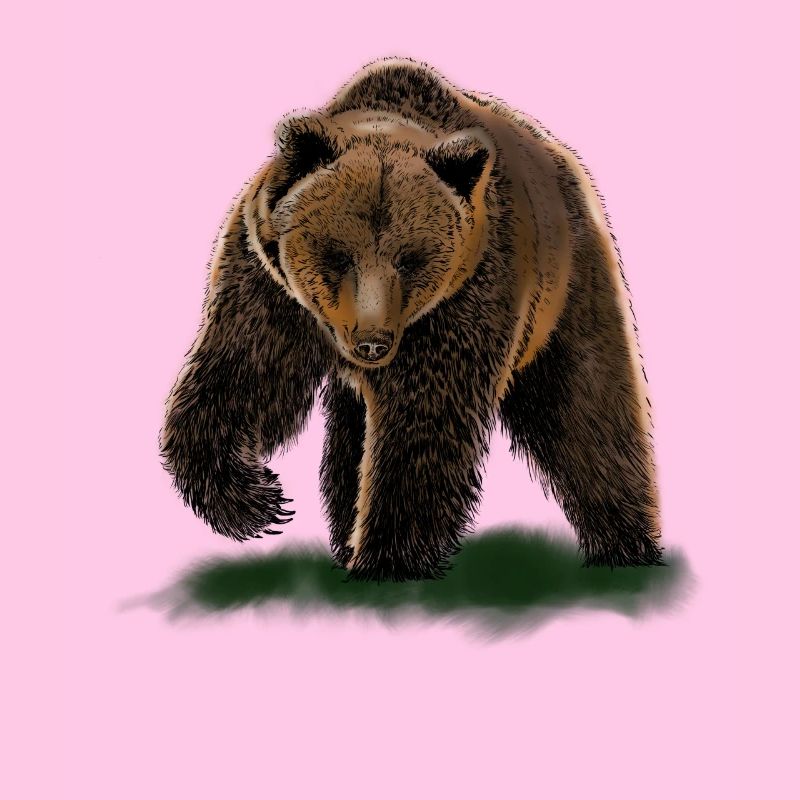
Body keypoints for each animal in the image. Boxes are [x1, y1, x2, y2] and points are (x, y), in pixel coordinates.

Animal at [160, 58, 663, 581]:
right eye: (338, 255)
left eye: (410, 259)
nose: (372, 342)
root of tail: (560, 159)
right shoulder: (271, 288)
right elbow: (244, 378)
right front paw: (257, 501)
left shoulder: (464, 301)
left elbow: (424, 424)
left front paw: (388, 562)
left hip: (565, 289)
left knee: (585, 406)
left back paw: (626, 546)